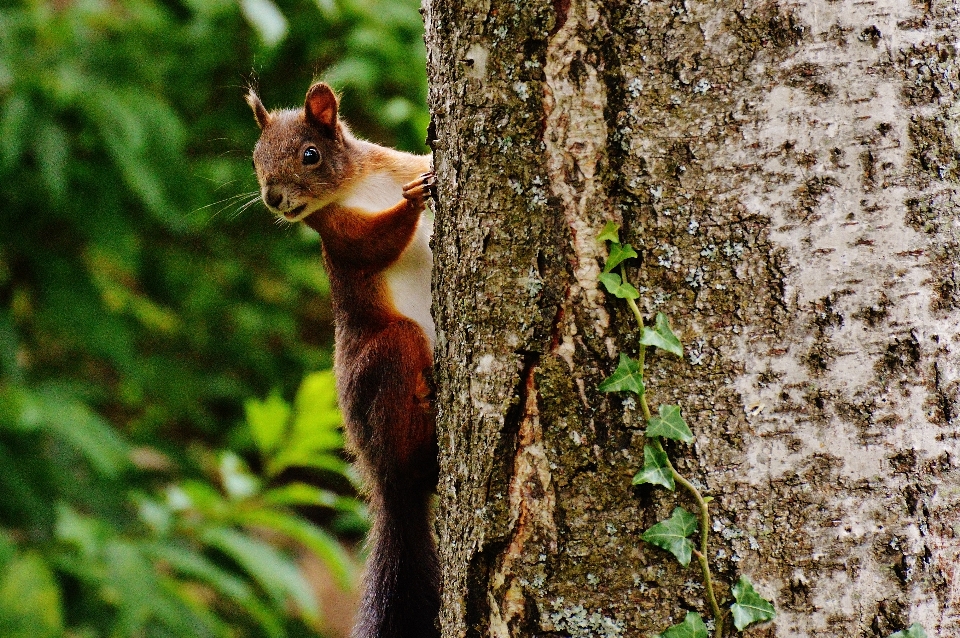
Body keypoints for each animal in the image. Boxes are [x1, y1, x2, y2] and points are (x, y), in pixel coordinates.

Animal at [248, 82, 442, 638]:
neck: (360, 184)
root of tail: (390, 489)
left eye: (310, 154)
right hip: (389, 352)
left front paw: (427, 172)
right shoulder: (337, 236)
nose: (273, 199)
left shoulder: (394, 160)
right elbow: (374, 244)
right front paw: (414, 199)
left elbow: (417, 161)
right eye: (256, 159)